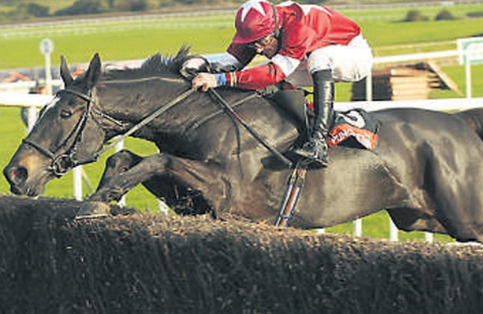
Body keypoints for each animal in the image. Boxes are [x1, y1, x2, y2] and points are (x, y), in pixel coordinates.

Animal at [2, 48, 483, 243]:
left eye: (65, 113)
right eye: (44, 107)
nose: (16, 172)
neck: (199, 116)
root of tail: (462, 121)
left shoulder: (229, 192)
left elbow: (158, 159)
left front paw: (94, 203)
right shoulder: (197, 200)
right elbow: (129, 158)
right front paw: (105, 197)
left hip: (464, 215)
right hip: (423, 217)